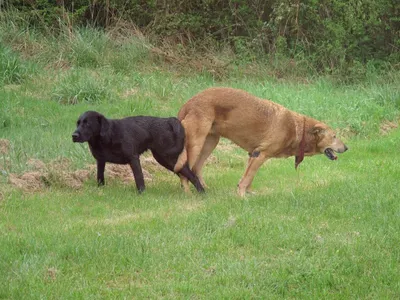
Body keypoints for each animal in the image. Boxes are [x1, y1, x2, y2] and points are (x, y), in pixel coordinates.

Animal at [72, 111, 205, 193]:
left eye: (87, 123)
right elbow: (100, 177)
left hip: (168, 158)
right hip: (166, 160)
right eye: (78, 123)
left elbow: (139, 178)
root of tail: (168, 120)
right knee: (186, 175)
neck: (108, 135)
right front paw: (100, 190)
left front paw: (142, 193)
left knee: (192, 175)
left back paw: (202, 193)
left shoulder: (133, 158)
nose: (74, 135)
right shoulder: (100, 161)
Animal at [175, 86, 346, 197]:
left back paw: (205, 190)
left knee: (196, 168)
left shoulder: (253, 154)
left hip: (210, 143)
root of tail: (188, 103)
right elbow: (248, 178)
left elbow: (247, 178)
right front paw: (242, 196)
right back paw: (188, 193)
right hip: (195, 144)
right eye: (334, 136)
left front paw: (248, 192)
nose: (347, 148)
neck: (299, 129)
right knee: (184, 170)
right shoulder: (261, 154)